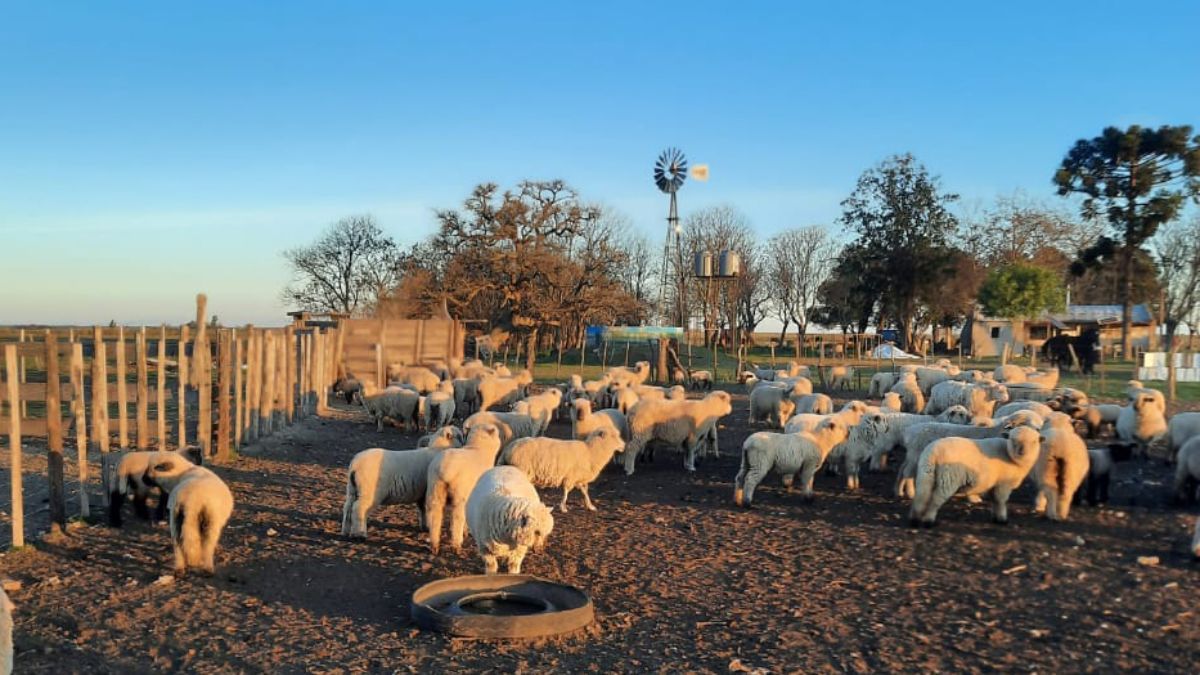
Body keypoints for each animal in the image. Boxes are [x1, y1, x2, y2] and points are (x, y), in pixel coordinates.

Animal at [424, 423, 505, 553]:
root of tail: (445, 468)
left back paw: (434, 544)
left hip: (435, 487)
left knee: (435, 513)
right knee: (457, 516)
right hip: (459, 493)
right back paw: (456, 544)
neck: (478, 449)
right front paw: (466, 531)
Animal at [908, 426, 1042, 527]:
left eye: (1034, 441)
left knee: (921, 496)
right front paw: (1002, 519)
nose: (1021, 451)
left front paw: (995, 517)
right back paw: (928, 521)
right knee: (935, 500)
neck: (1010, 457)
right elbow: (1001, 501)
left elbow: (995, 501)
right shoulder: (1003, 484)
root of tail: (933, 453)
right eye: (1012, 439)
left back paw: (915, 519)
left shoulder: (994, 484)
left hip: (926, 473)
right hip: (948, 478)